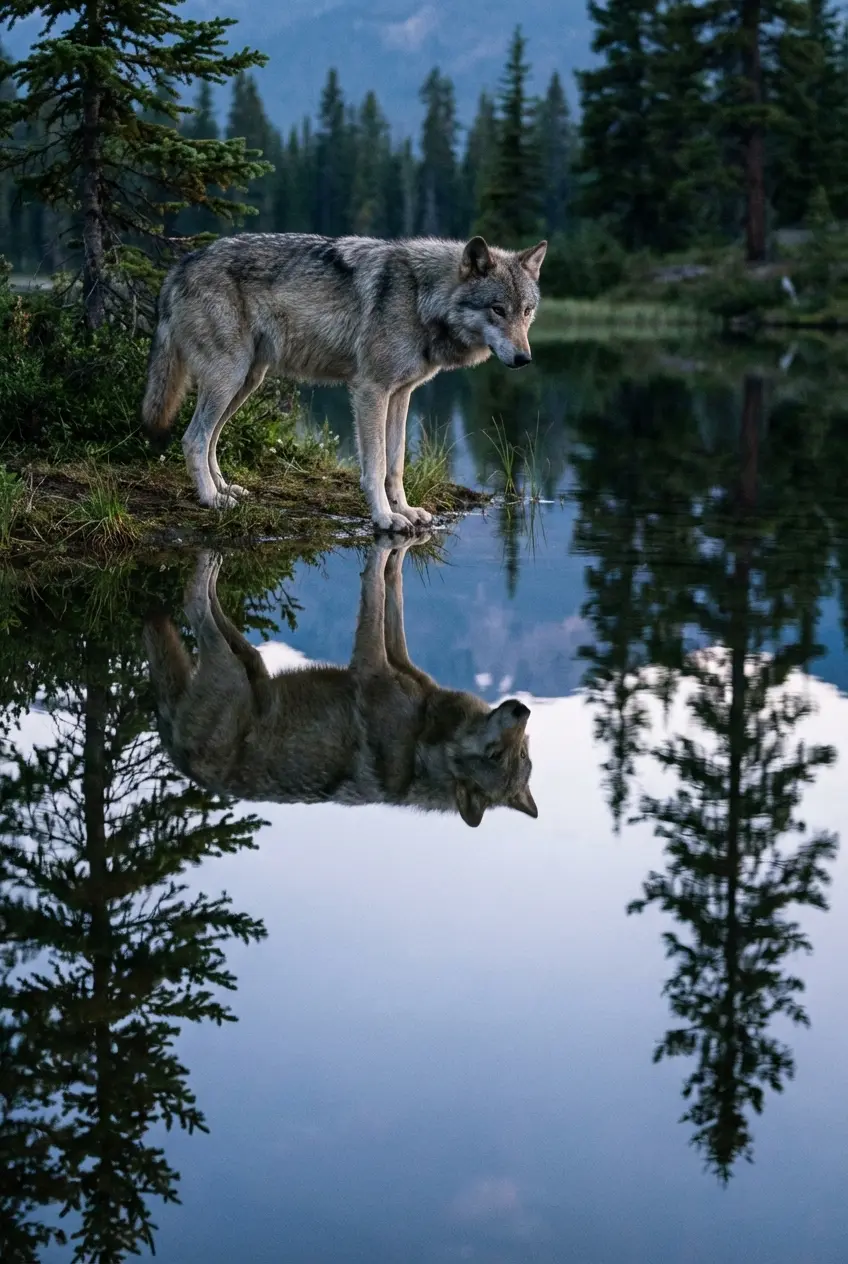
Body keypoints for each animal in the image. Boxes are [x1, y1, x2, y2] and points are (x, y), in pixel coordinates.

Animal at [141, 233, 547, 532]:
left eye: (527, 312)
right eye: (497, 309)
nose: (525, 359)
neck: (420, 296)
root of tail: (180, 265)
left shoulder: (401, 395)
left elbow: (396, 463)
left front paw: (406, 510)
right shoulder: (371, 391)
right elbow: (376, 465)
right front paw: (384, 517)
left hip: (245, 382)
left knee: (211, 439)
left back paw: (225, 488)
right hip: (229, 378)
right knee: (194, 438)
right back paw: (211, 499)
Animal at [144, 542, 538, 828]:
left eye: (517, 755)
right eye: (504, 754)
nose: (523, 710)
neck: (422, 747)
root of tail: (180, 761)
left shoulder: (374, 663)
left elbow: (380, 592)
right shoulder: (384, 658)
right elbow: (386, 589)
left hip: (242, 666)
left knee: (196, 601)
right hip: (239, 666)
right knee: (198, 597)